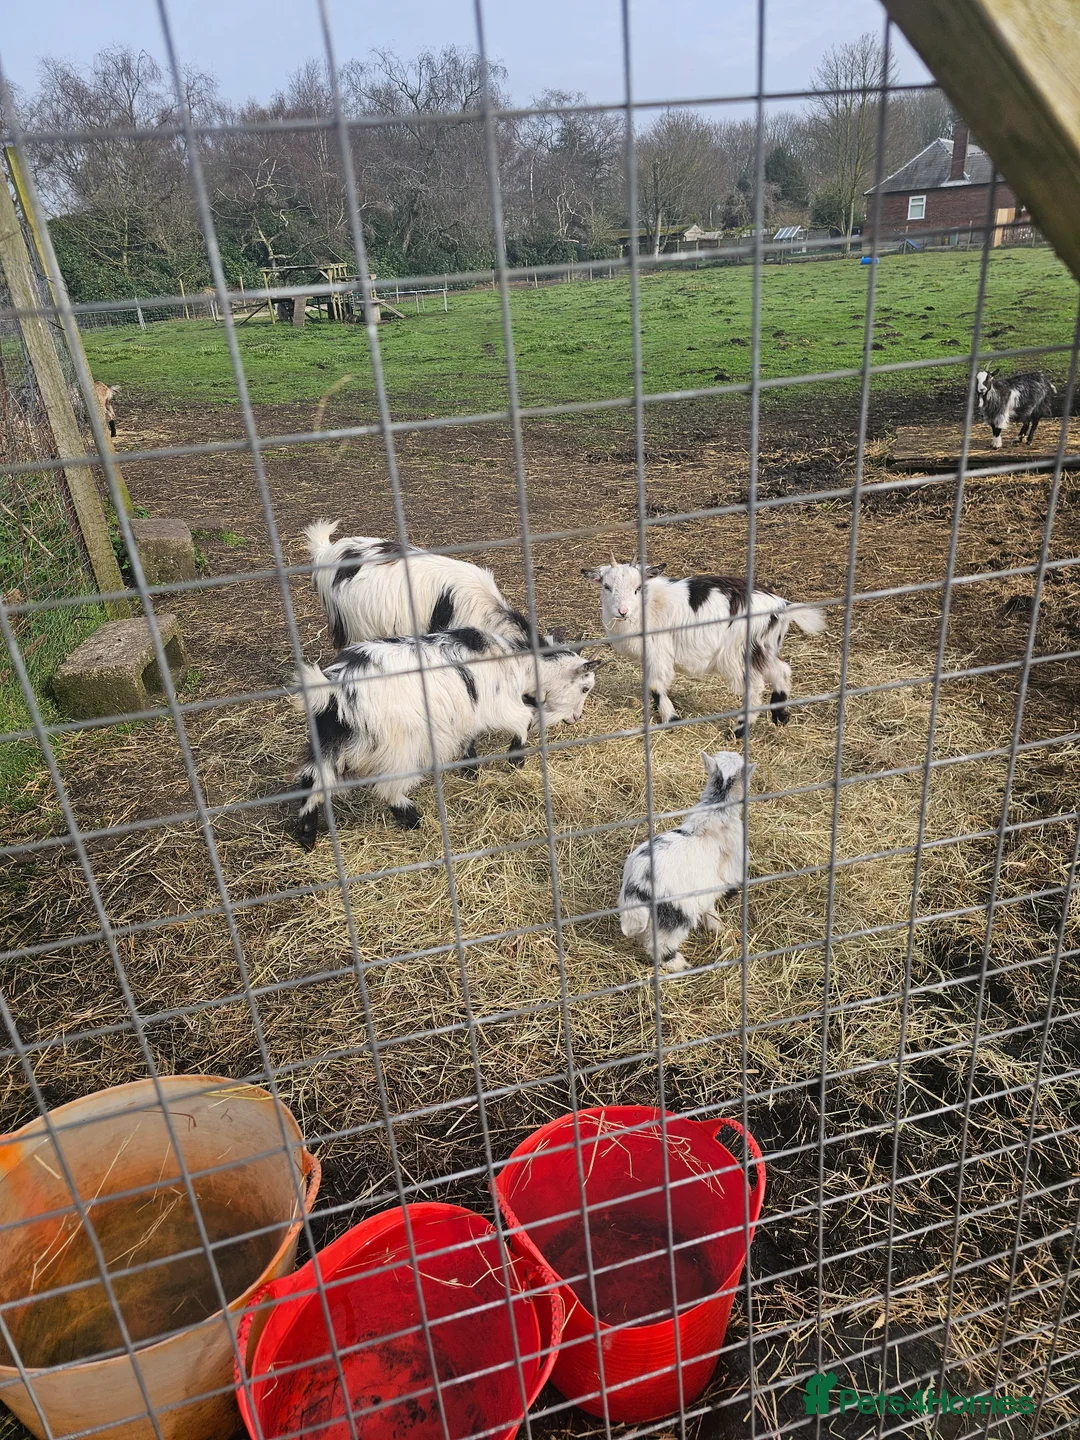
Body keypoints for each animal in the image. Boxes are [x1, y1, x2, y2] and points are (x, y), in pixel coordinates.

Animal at [293, 627, 599, 846]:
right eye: (584, 688)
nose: (576, 718)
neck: (518, 662)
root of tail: (335, 687)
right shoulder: (498, 706)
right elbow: (525, 720)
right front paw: (515, 760)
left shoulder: (467, 714)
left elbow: (470, 737)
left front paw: (471, 769)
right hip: (401, 744)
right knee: (388, 787)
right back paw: (413, 819)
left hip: (330, 742)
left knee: (313, 782)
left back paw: (307, 836)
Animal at [582, 559, 825, 732]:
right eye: (606, 586)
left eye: (638, 587)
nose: (622, 611)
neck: (647, 608)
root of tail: (781, 605)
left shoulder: (658, 653)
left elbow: (655, 686)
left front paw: (670, 718)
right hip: (764, 647)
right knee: (781, 670)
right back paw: (780, 716)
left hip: (736, 653)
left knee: (754, 687)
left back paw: (738, 730)